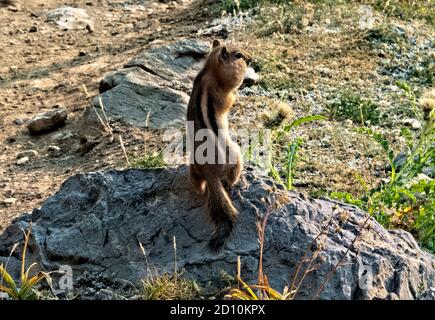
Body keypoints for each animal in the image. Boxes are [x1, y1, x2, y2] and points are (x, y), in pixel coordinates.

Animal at [187, 39, 252, 250]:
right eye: (239, 55)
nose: (251, 58)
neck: (208, 70)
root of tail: (211, 174)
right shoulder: (220, 92)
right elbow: (228, 100)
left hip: (193, 166)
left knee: (197, 183)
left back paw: (200, 190)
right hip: (236, 155)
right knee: (230, 179)